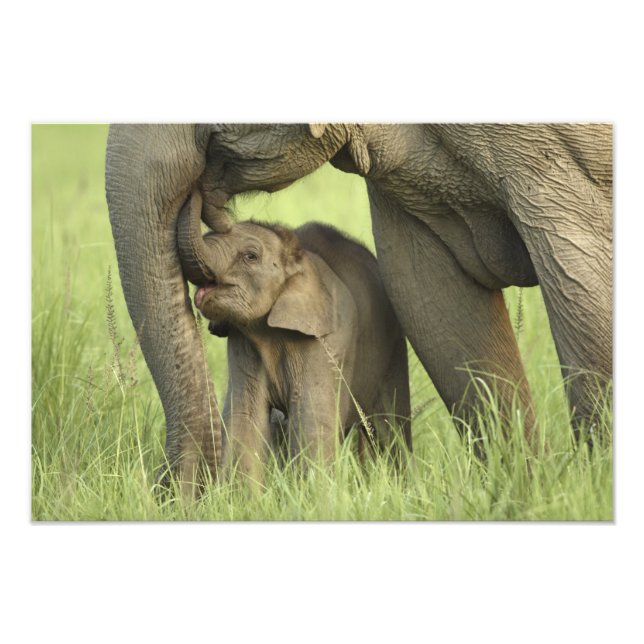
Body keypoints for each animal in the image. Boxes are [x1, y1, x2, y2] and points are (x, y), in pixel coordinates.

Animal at [177, 192, 411, 483]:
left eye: (250, 256)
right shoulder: (243, 341)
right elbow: (246, 416)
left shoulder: (326, 341)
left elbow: (310, 416)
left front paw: (315, 490)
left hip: (393, 346)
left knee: (391, 425)